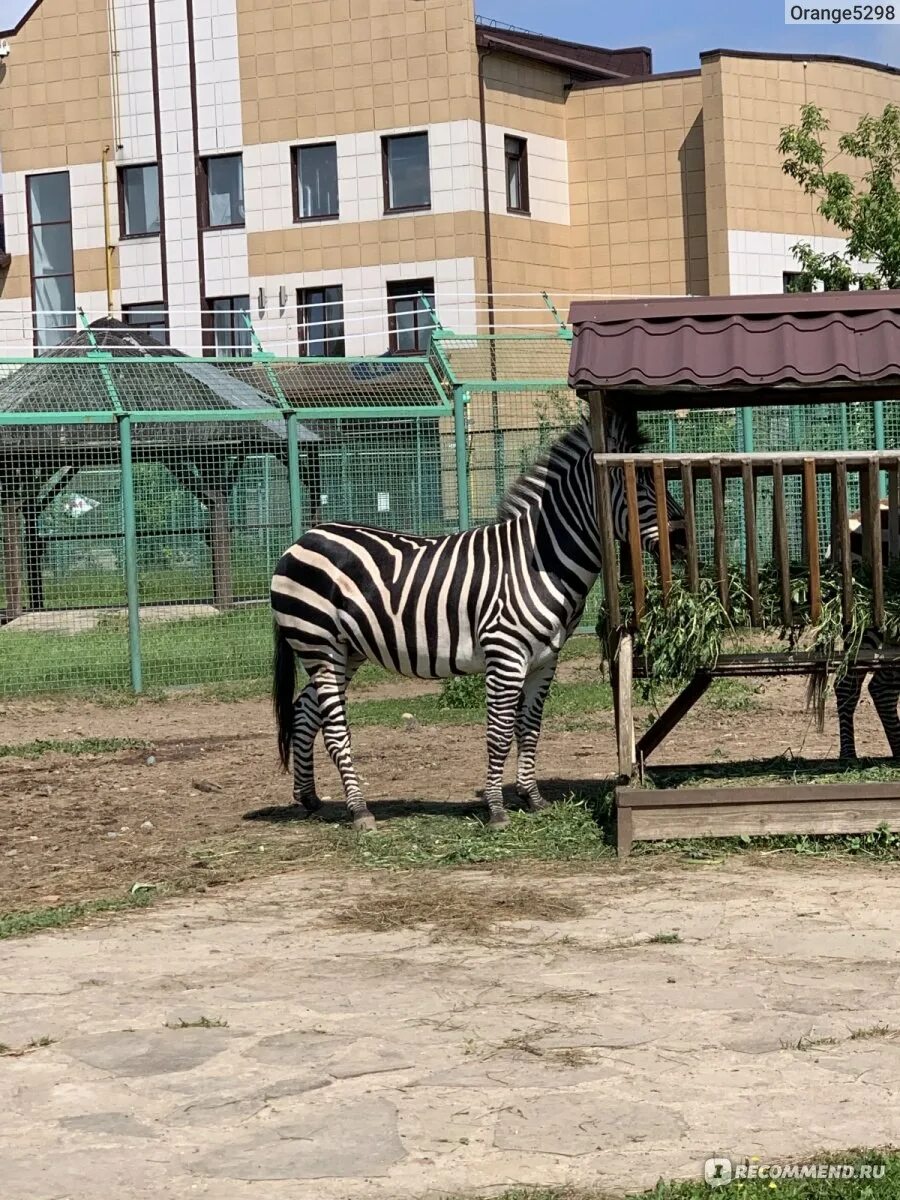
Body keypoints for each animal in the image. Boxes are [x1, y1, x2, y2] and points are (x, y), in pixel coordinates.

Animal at [271, 408, 686, 830]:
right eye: (642, 488)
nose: (684, 537)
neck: (541, 560)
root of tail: (300, 541)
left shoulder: (545, 660)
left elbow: (529, 728)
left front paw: (533, 799)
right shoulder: (505, 654)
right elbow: (500, 733)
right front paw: (497, 809)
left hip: (345, 651)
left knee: (304, 712)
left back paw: (309, 798)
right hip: (319, 644)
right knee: (334, 729)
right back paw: (359, 811)